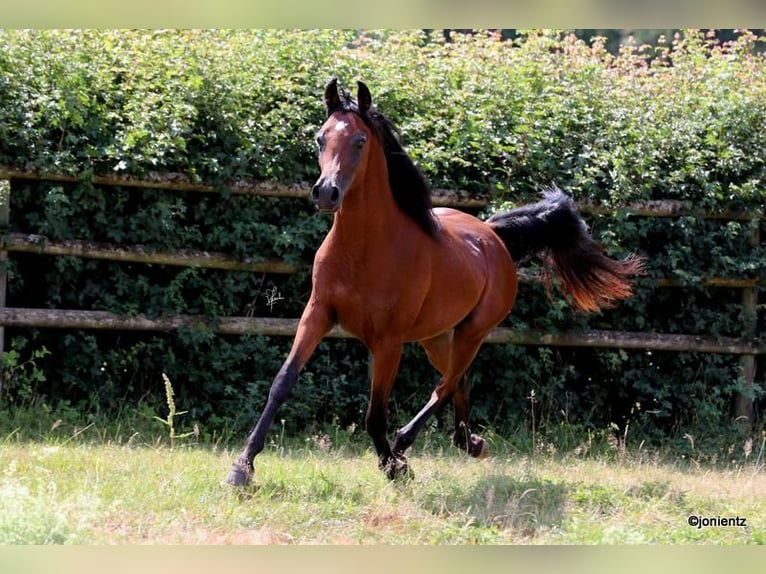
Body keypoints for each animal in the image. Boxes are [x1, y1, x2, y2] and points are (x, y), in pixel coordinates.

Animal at [225, 78, 645, 486]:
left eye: (360, 141)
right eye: (319, 138)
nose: (326, 192)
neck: (364, 250)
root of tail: (492, 236)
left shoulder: (388, 342)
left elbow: (375, 414)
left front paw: (394, 467)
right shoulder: (317, 314)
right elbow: (282, 383)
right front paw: (242, 468)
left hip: (473, 331)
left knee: (447, 383)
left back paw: (408, 445)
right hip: (436, 336)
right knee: (458, 381)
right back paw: (468, 442)